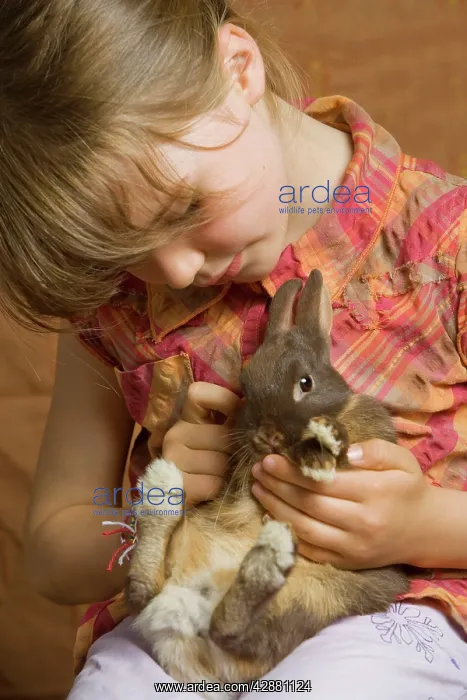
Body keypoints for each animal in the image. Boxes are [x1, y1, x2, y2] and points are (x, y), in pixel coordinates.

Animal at [126, 269, 410, 699]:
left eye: (305, 383)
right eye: (245, 385)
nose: (268, 436)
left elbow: (341, 453)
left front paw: (323, 442)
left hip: (311, 599)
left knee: (215, 624)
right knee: (157, 595)